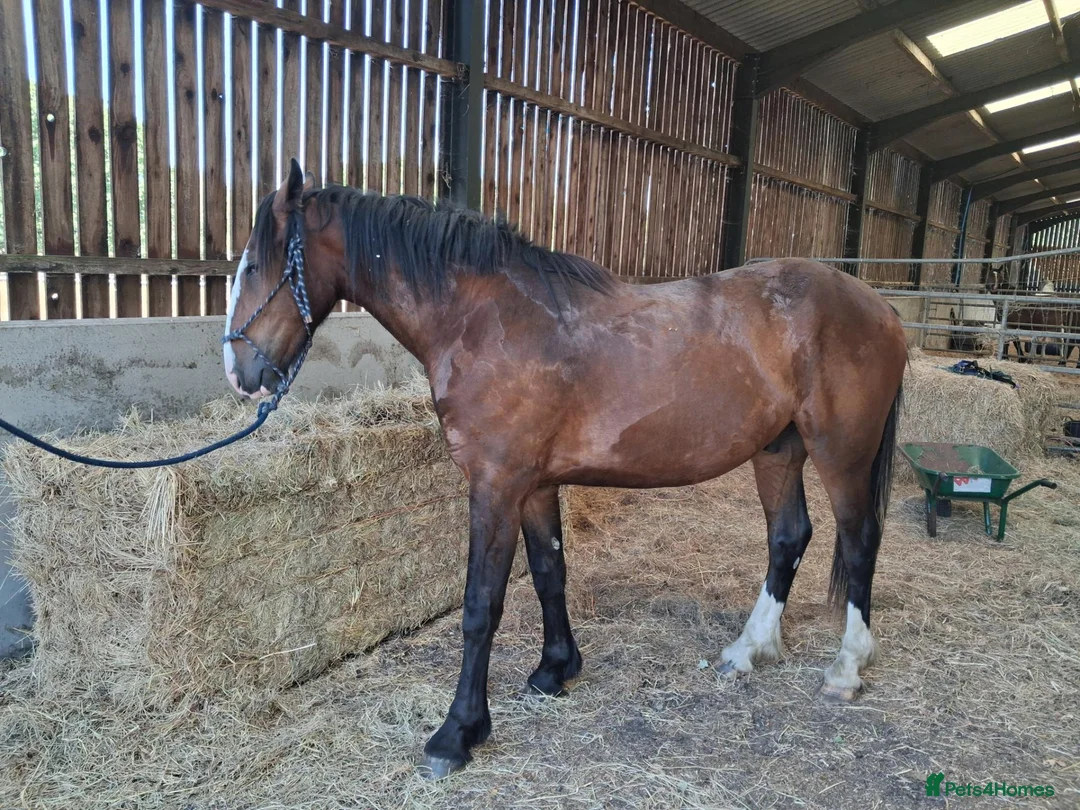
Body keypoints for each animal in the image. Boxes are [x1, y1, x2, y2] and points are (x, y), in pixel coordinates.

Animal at [224, 160, 908, 779]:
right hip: (779, 451)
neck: (486, 318)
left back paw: (847, 667)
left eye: (255, 266)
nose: (238, 372)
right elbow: (550, 572)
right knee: (788, 536)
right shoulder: (534, 486)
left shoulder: (495, 486)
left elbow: (481, 606)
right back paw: (748, 650)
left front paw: (457, 733)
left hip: (841, 452)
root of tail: (879, 307)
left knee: (859, 540)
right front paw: (556, 669)